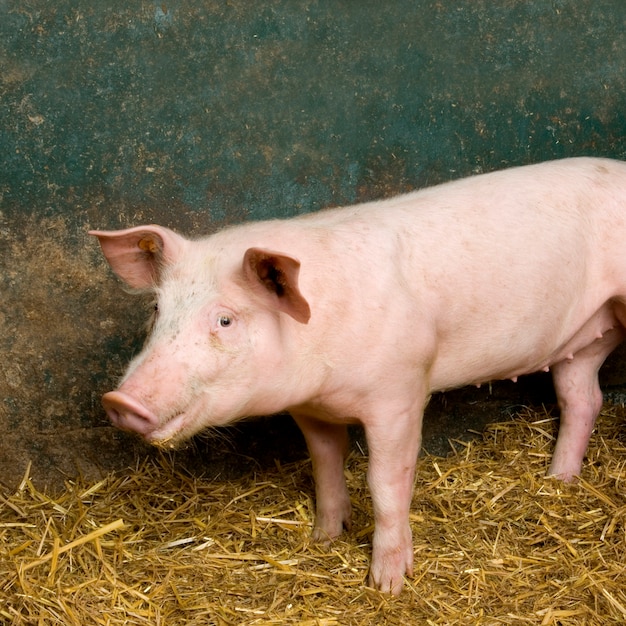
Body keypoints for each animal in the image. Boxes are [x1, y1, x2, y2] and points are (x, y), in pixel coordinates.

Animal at [90, 157, 624, 596]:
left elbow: (385, 482)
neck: (324, 375)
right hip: (585, 341)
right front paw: (323, 538)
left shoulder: (401, 392)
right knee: (583, 400)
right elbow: (325, 464)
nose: (119, 401)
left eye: (225, 320)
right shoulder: (310, 410)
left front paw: (387, 585)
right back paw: (559, 482)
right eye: (158, 309)